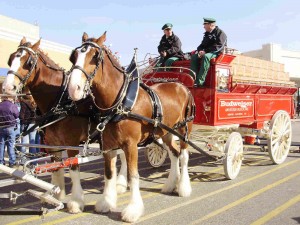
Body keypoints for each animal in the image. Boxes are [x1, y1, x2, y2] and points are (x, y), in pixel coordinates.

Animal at [2, 37, 129, 214]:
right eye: (11, 58)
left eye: (28, 62)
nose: (7, 88)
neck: (61, 102)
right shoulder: (52, 144)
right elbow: (56, 167)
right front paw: (57, 193)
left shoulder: (71, 143)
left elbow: (74, 169)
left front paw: (76, 201)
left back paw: (121, 184)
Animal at [67, 32, 195, 223]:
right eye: (73, 56)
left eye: (95, 57)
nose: (73, 89)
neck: (121, 101)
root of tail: (182, 86)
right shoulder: (108, 145)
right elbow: (109, 173)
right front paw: (106, 202)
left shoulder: (131, 145)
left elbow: (133, 175)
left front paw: (133, 210)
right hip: (166, 132)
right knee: (174, 154)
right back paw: (171, 184)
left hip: (185, 128)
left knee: (184, 155)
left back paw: (184, 187)